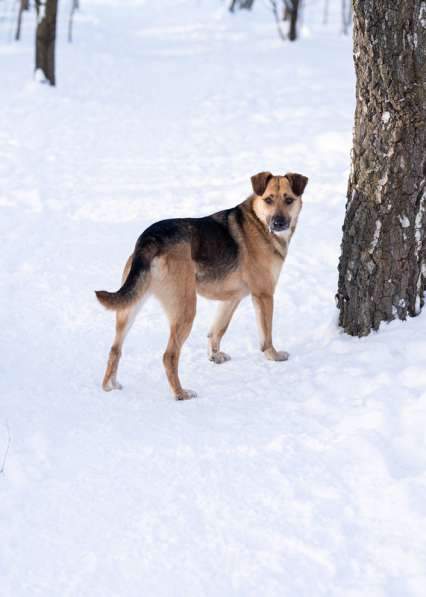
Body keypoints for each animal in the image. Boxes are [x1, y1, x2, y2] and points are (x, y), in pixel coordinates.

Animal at [95, 170, 310, 398]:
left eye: (289, 200)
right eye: (268, 200)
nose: (278, 223)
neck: (259, 222)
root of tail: (150, 238)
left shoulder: (231, 298)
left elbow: (217, 330)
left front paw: (215, 356)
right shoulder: (264, 294)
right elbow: (266, 334)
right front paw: (274, 356)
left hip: (130, 306)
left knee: (115, 349)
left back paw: (109, 385)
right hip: (186, 308)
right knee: (169, 355)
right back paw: (181, 394)